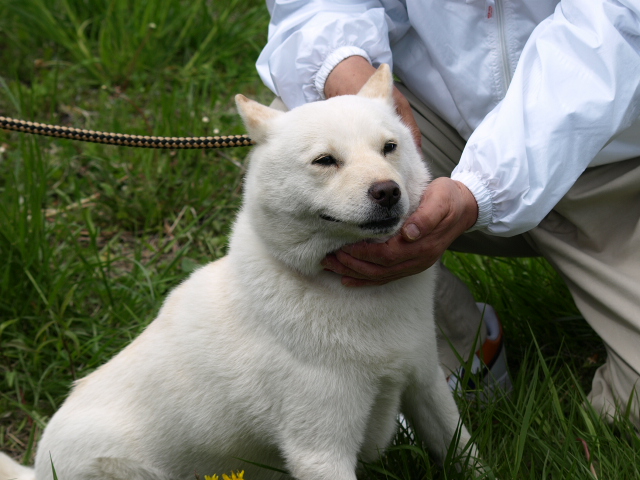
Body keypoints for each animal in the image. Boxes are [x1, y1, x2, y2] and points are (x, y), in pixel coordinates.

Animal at [0, 64, 476, 480]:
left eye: (389, 148)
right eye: (325, 160)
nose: (387, 192)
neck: (351, 294)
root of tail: (38, 470)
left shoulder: (427, 386)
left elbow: (466, 453)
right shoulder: (321, 450)